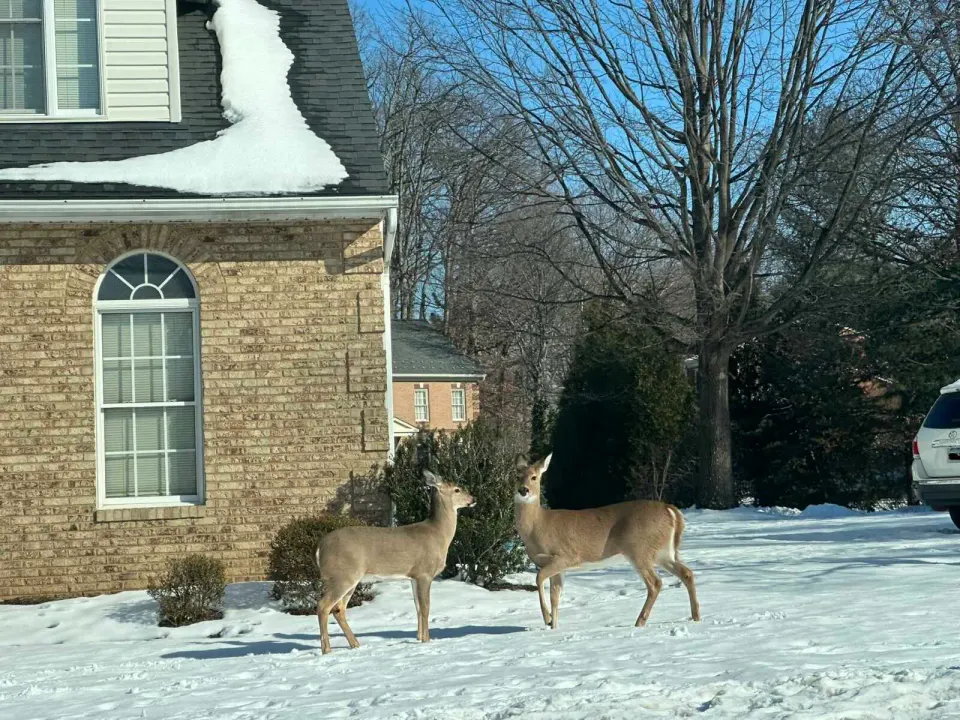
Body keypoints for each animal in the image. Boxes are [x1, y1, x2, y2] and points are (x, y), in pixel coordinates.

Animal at [314, 470, 475, 654]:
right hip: (342, 575)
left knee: (339, 609)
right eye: (457, 489)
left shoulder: (413, 576)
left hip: (349, 578)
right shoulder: (424, 572)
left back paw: (355, 644)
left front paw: (418, 638)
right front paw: (427, 640)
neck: (438, 533)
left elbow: (417, 607)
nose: (473, 499)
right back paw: (327, 650)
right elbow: (425, 607)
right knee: (323, 606)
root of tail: (319, 548)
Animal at [515, 453, 700, 630]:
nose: (523, 490)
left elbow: (539, 578)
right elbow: (555, 595)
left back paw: (640, 621)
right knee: (687, 573)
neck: (538, 526)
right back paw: (696, 616)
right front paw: (553, 626)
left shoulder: (567, 555)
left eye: (534, 477)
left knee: (655, 583)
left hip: (639, 549)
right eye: (517, 476)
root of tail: (672, 511)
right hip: (664, 552)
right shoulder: (558, 567)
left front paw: (547, 619)